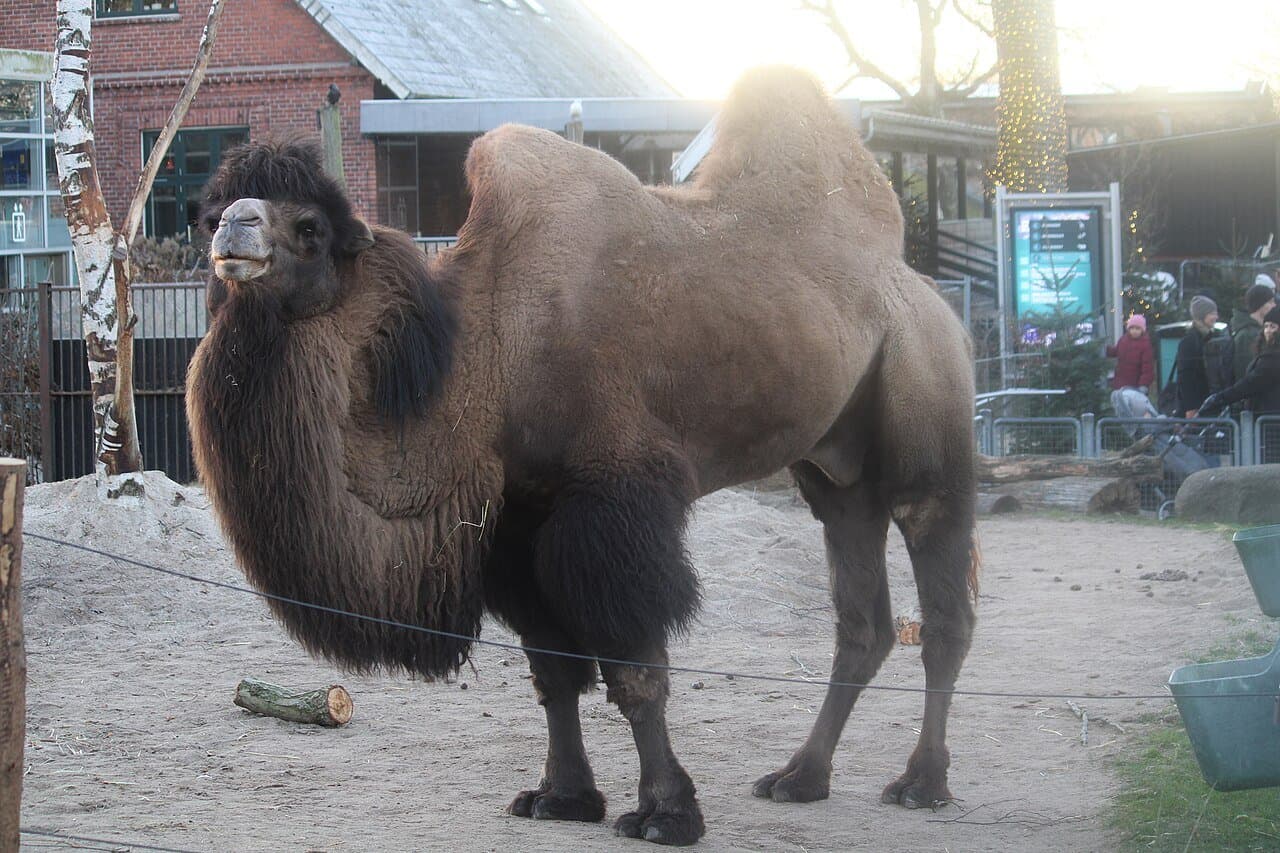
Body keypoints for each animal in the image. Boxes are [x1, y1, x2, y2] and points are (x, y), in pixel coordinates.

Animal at [187, 67, 977, 846]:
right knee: (862, 615)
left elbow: (635, 669)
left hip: (924, 394)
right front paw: (561, 796)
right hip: (835, 470)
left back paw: (923, 782)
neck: (486, 351)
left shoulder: (610, 499)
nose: (234, 229)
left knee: (939, 591)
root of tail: (921, 287)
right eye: (210, 210)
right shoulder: (518, 517)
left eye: (311, 228)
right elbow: (553, 670)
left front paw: (666, 811)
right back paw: (801, 777)